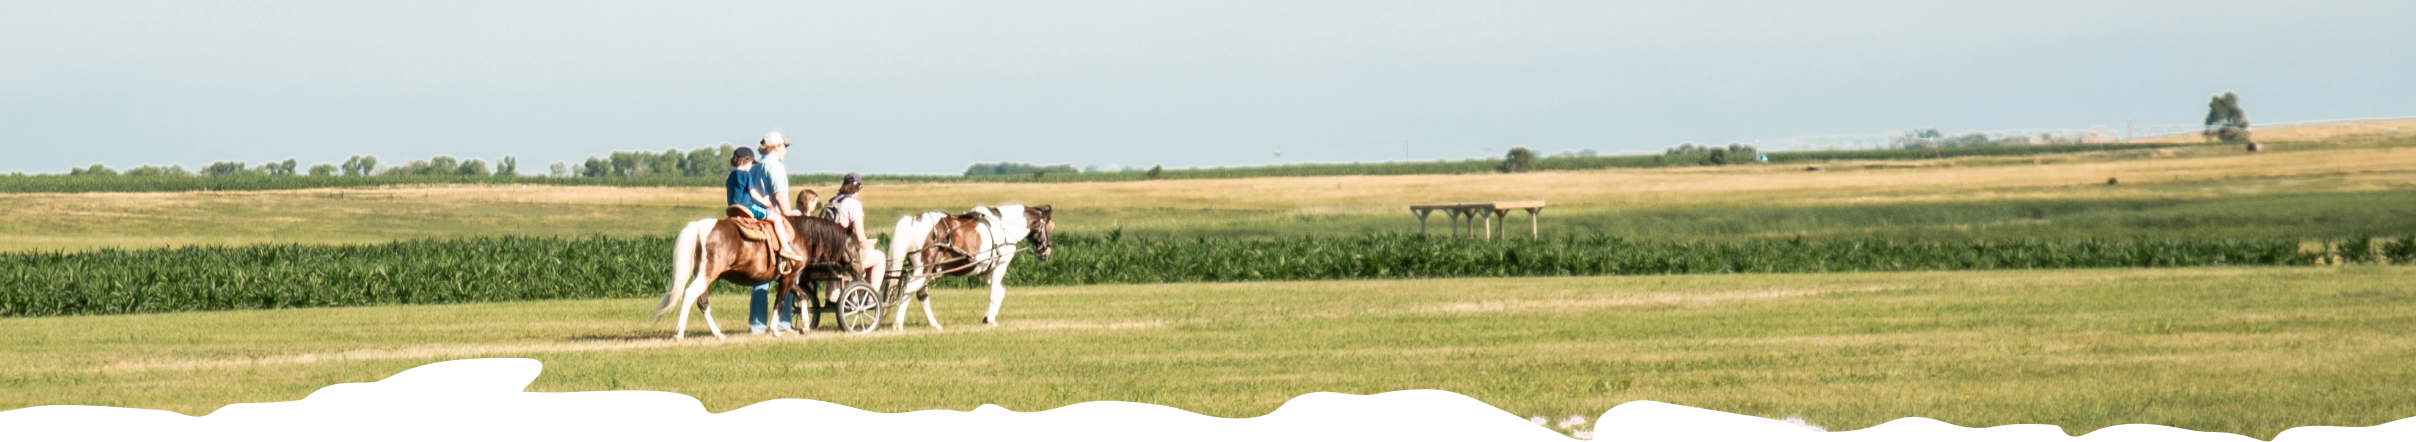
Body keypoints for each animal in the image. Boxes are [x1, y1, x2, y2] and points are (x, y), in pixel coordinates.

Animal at [652, 210, 858, 341]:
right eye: (854, 245)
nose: (859, 270)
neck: (800, 236)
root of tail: (701, 227)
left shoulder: (787, 278)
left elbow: (802, 297)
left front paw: (805, 327)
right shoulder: (789, 277)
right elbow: (780, 302)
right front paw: (775, 330)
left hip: (704, 277)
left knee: (702, 302)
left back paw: (718, 334)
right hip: (706, 275)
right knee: (689, 295)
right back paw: (680, 333)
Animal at [883, 204, 1054, 331]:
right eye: (1050, 228)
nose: (1047, 253)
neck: (1003, 226)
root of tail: (913, 220)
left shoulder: (986, 271)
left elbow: (1000, 292)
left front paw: (988, 318)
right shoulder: (1001, 265)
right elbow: (994, 294)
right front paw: (990, 320)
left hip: (920, 270)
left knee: (920, 294)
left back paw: (934, 324)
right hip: (923, 269)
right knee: (908, 290)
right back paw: (898, 324)